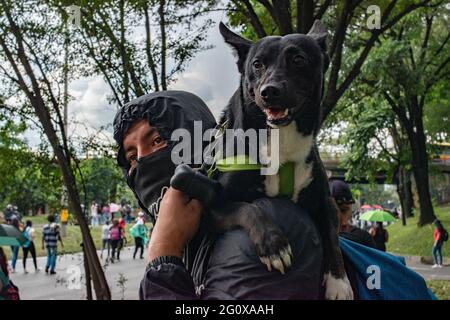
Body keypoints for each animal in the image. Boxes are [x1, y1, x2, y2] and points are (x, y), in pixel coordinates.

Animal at [213, 20, 354, 300]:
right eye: (257, 64)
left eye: (298, 59)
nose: (269, 92)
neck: (281, 139)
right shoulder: (212, 206)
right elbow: (249, 208)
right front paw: (273, 245)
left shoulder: (325, 202)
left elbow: (332, 239)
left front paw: (339, 281)